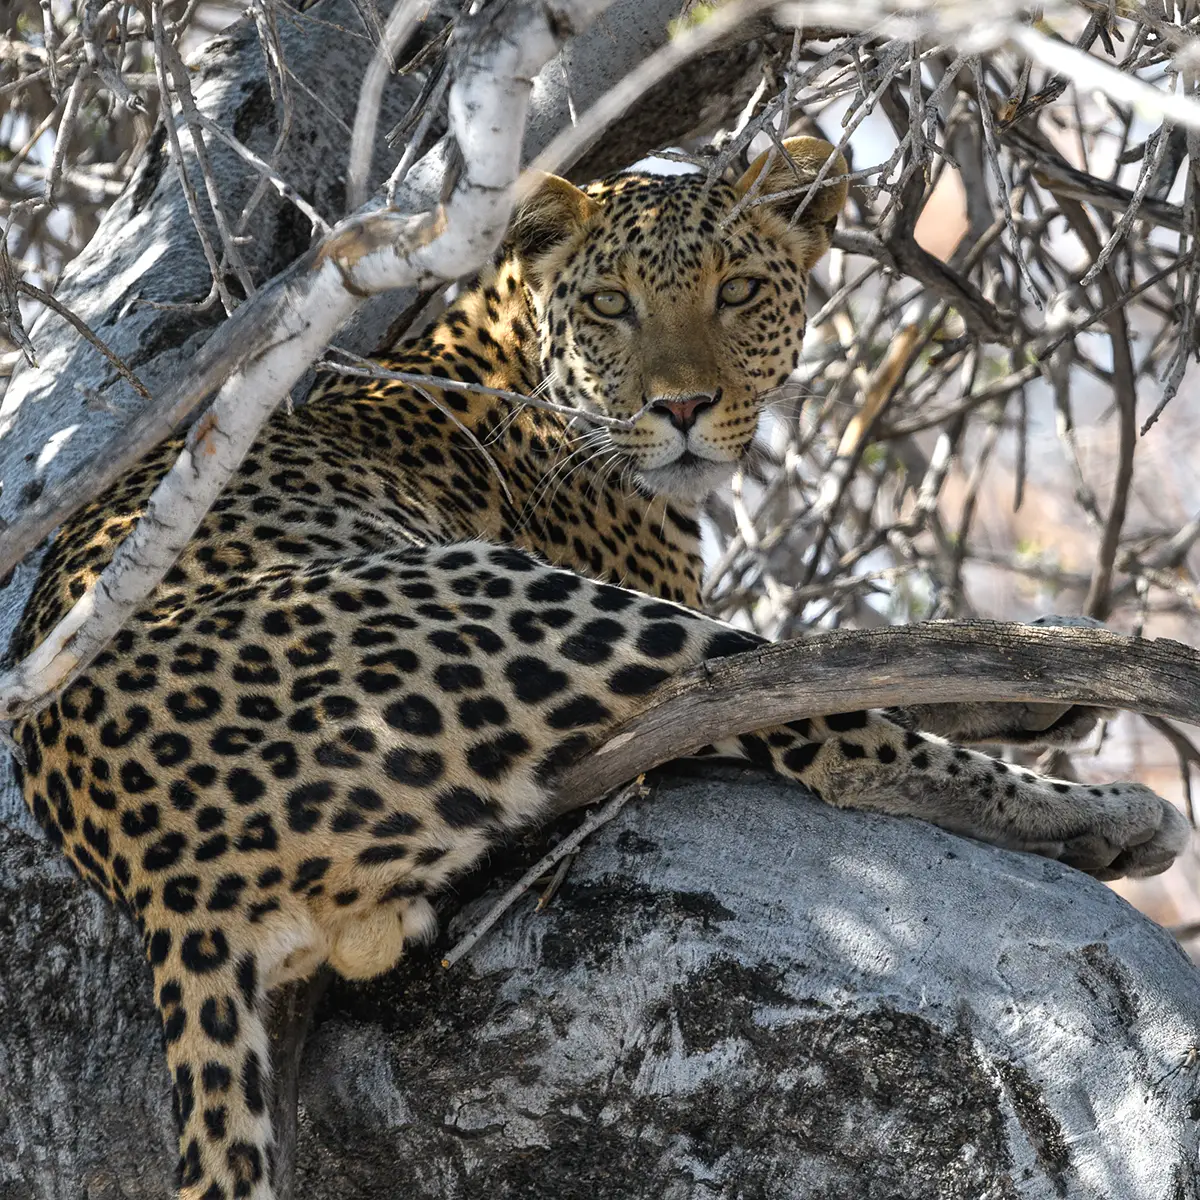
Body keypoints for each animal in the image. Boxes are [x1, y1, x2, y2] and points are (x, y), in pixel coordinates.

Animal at [9, 136, 1189, 1200]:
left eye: (739, 290)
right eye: (613, 306)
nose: (681, 410)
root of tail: (162, 879)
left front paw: (1059, 669)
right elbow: (837, 677)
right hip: (518, 598)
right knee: (828, 721)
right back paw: (1102, 814)